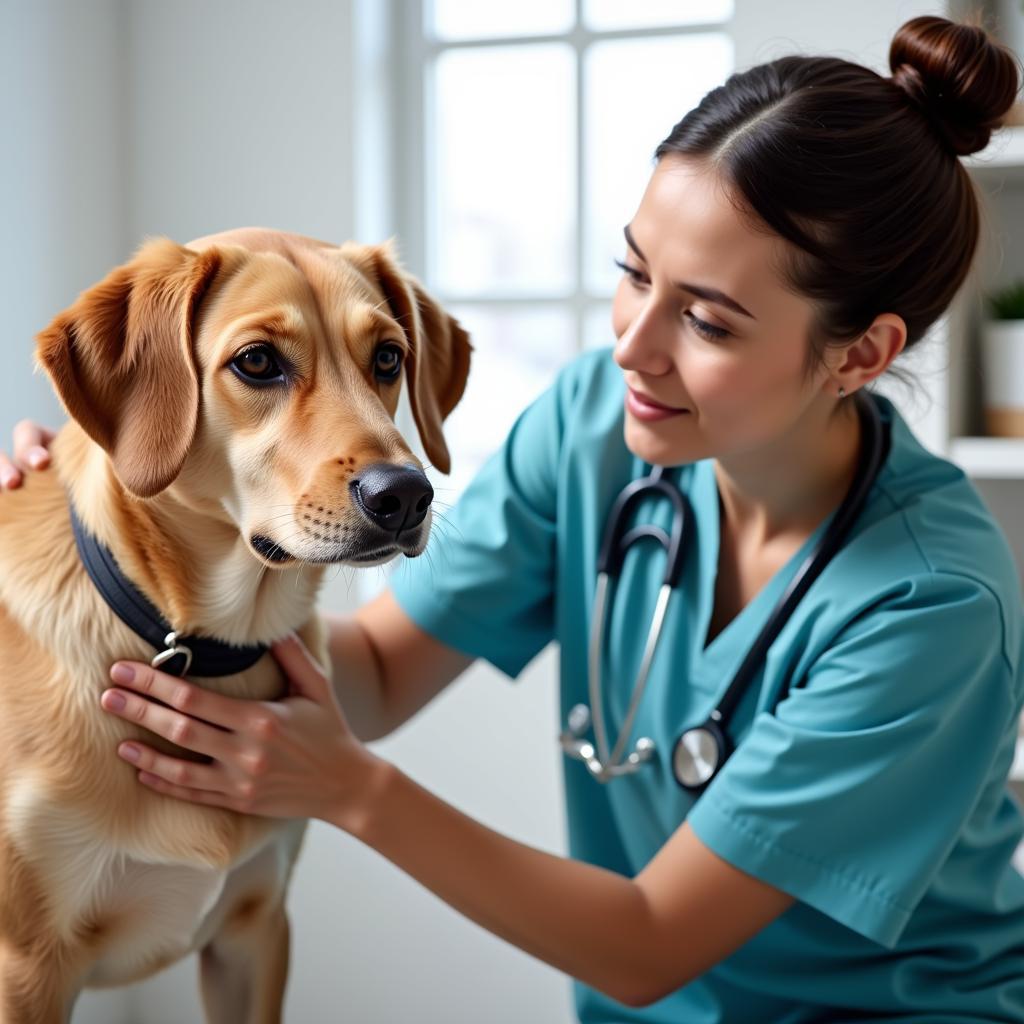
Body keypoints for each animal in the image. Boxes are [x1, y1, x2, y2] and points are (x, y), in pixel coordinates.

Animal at [0, 230, 471, 1024]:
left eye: (388, 358)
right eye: (256, 362)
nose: (407, 495)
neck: (200, 643)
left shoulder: (255, 931)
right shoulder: (26, 968)